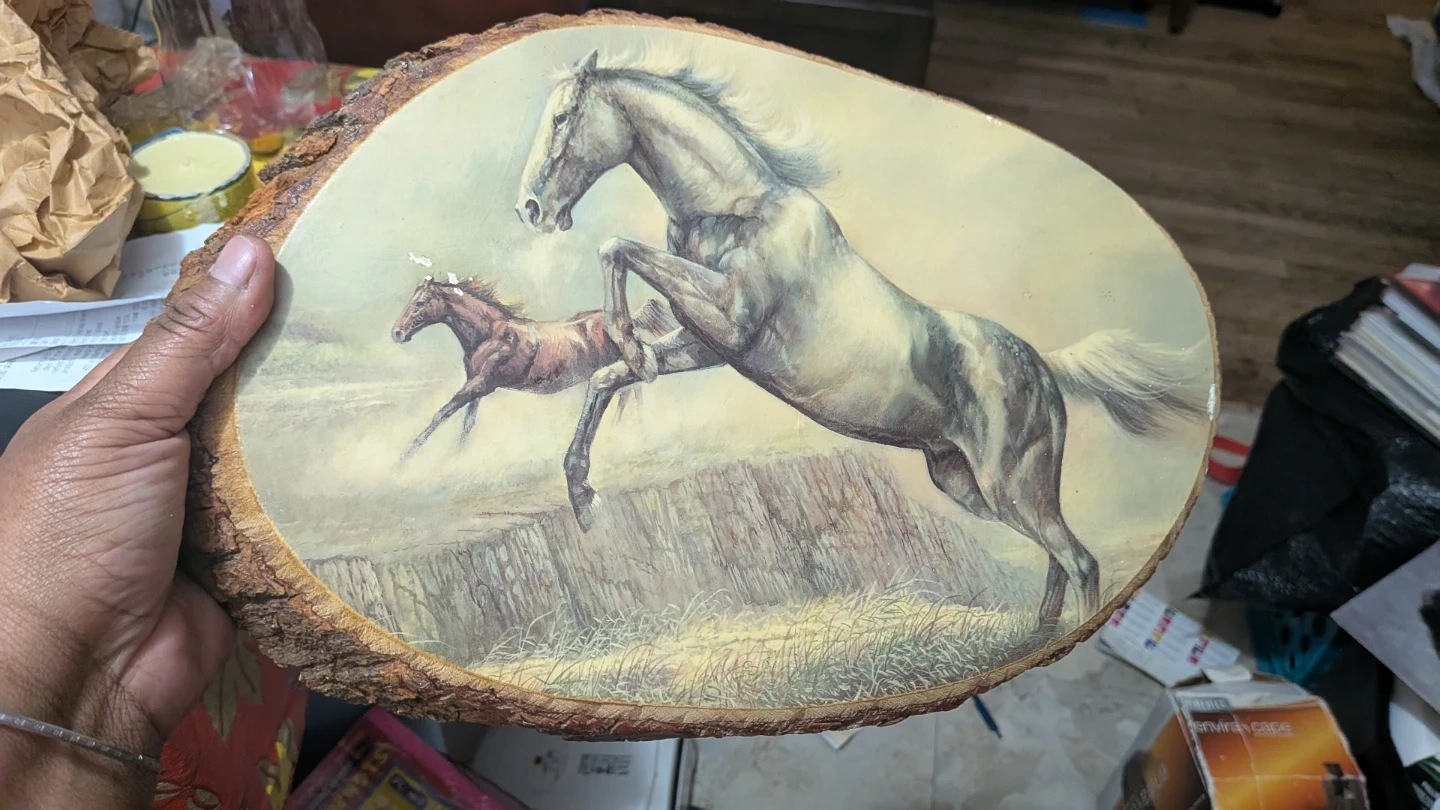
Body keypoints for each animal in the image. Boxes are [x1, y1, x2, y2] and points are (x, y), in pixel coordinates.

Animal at [390, 272, 677, 462]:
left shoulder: (481, 384)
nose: (397, 333)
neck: (491, 334)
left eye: (419, 303)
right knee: (628, 392)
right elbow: (467, 423)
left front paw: (404, 458)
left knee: (630, 392)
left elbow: (441, 413)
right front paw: (457, 457)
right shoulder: (477, 386)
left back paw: (627, 431)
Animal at [515, 51, 1210, 629]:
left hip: (1010, 489)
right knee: (1058, 559)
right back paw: (1037, 635)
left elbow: (616, 250)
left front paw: (630, 347)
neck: (738, 210)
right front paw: (584, 497)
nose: (529, 209)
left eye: (563, 117)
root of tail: (1043, 368)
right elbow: (607, 376)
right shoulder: (711, 345)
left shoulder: (729, 319)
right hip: (969, 487)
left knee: (1081, 561)